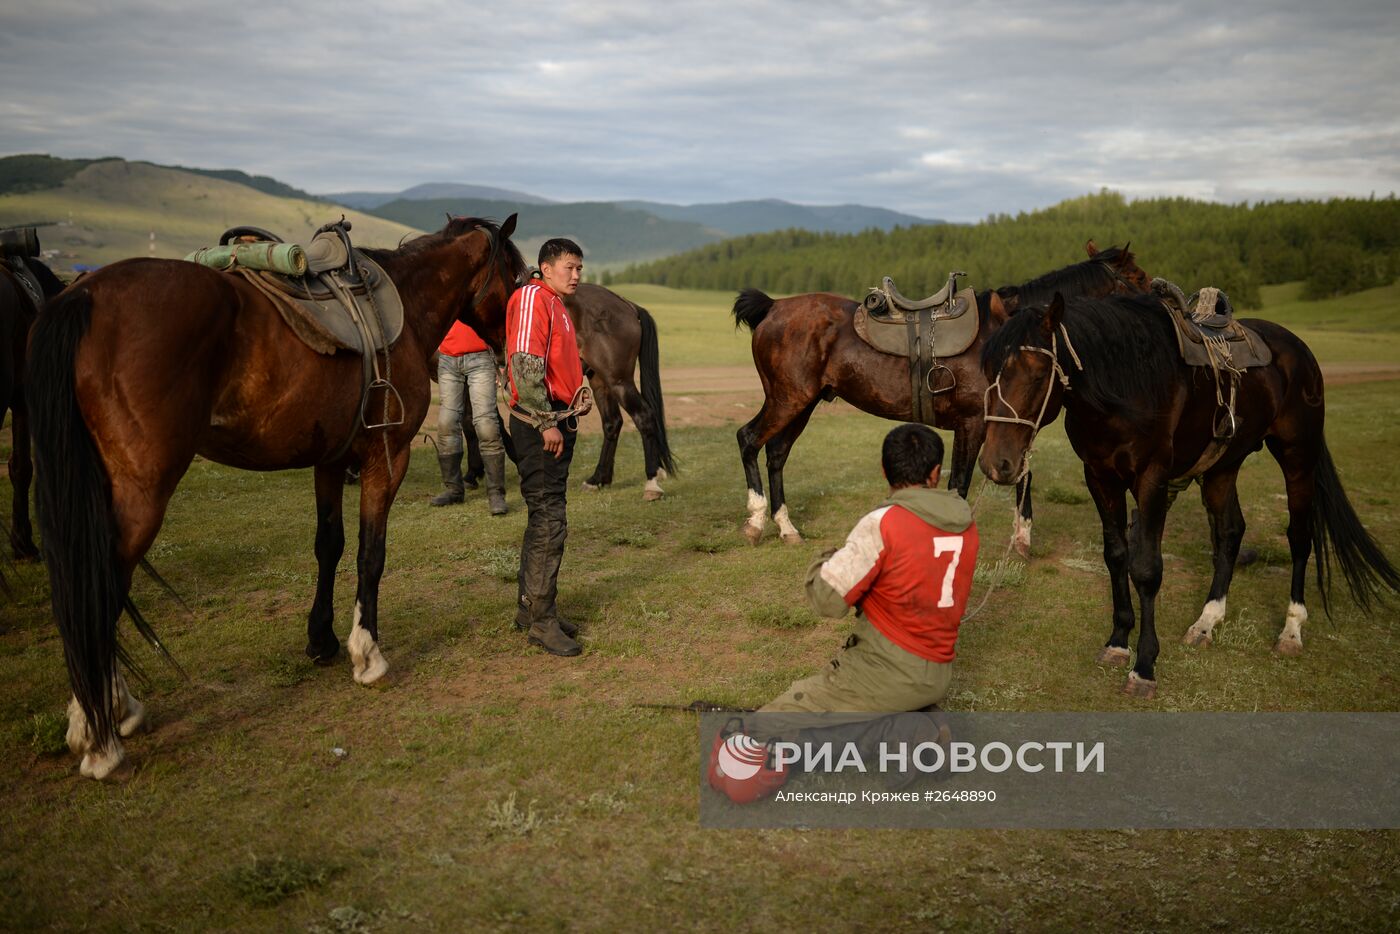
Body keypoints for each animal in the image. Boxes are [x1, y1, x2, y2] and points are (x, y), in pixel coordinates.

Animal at [30, 215, 526, 778]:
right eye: (516, 275)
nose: (509, 351)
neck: (404, 299)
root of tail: (83, 294)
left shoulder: (331, 458)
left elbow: (329, 546)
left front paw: (321, 639)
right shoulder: (387, 456)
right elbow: (370, 554)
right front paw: (367, 653)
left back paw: (109, 713)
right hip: (140, 495)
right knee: (102, 587)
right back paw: (100, 739)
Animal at [733, 243, 1148, 548]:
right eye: (1138, 276)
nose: (1160, 297)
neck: (1009, 340)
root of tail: (773, 307)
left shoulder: (1016, 425)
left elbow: (1023, 473)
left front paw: (1022, 535)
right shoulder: (974, 424)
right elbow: (960, 485)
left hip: (802, 403)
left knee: (777, 453)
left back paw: (786, 527)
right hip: (787, 400)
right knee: (749, 439)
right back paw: (754, 520)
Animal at [980, 289, 1394, 694]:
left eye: (1037, 374)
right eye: (987, 371)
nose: (996, 463)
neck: (1128, 384)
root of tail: (1299, 349)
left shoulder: (1153, 478)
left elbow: (1146, 568)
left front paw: (1144, 667)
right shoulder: (1099, 476)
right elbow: (1116, 556)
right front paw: (1118, 642)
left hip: (1298, 458)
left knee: (1299, 537)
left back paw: (1291, 630)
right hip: (1223, 467)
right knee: (1230, 532)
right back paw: (1206, 621)